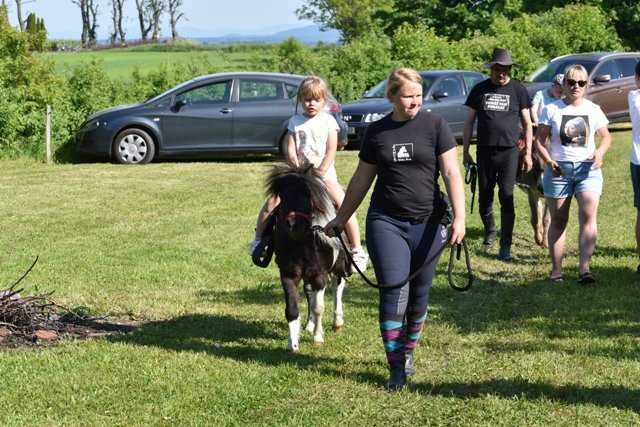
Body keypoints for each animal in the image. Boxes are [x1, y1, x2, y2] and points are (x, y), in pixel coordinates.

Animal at [268, 163, 352, 352]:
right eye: (282, 196)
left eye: (307, 194)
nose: (293, 225)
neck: (301, 242)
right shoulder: (288, 274)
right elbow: (292, 309)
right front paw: (292, 343)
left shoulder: (319, 274)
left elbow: (318, 307)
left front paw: (318, 338)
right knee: (309, 293)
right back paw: (309, 325)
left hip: (339, 267)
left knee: (338, 288)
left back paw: (337, 321)